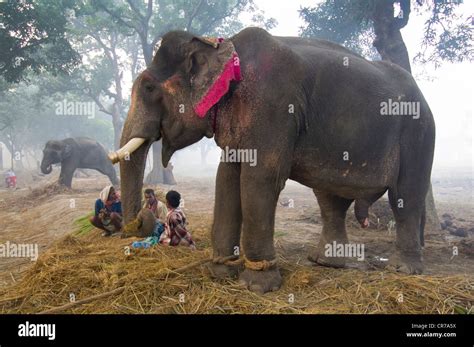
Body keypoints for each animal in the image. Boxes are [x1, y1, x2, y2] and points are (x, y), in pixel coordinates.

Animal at [109, 27, 436, 294]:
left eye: (149, 88)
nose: (140, 220)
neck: (221, 46)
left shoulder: (272, 104)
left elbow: (259, 178)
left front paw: (258, 285)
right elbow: (226, 177)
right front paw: (220, 273)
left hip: (419, 134)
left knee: (405, 196)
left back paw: (403, 269)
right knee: (331, 202)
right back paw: (325, 262)